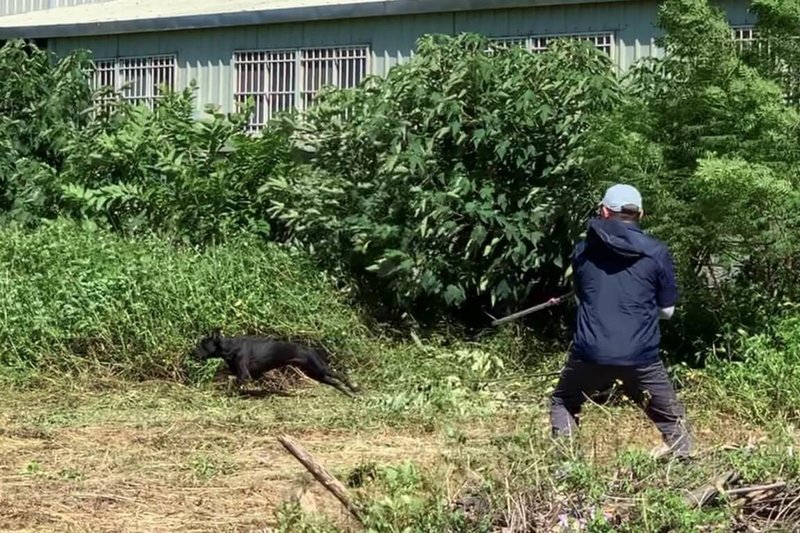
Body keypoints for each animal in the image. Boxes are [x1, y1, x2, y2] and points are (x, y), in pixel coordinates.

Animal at [191, 326, 360, 396]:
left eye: (203, 345)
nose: (192, 352)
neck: (230, 347)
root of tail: (310, 349)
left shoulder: (244, 374)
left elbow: (235, 384)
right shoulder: (237, 372)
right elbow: (228, 377)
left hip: (319, 369)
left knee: (341, 376)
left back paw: (354, 389)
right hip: (316, 374)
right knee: (336, 382)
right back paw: (349, 393)